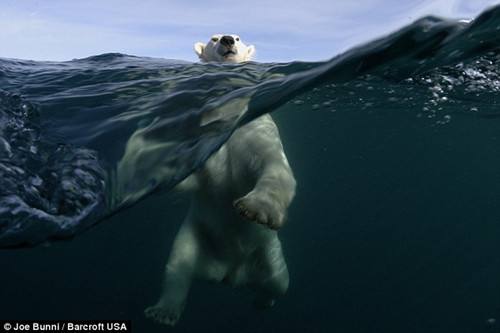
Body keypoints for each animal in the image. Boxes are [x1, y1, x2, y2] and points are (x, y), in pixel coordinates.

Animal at [143, 35, 294, 326]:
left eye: (238, 38)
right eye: (213, 38)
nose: (226, 40)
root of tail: (230, 274)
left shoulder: (255, 129)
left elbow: (273, 165)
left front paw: (256, 208)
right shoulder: (202, 136)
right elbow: (192, 178)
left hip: (268, 252)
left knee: (278, 281)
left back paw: (262, 300)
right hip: (195, 235)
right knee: (178, 266)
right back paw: (163, 312)